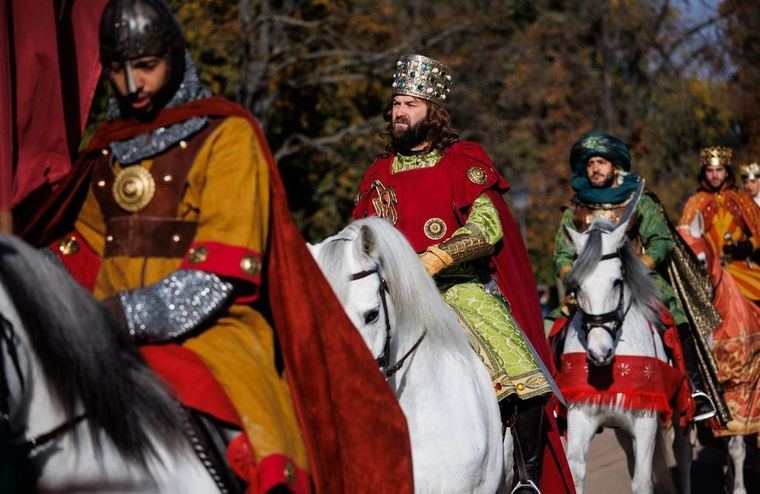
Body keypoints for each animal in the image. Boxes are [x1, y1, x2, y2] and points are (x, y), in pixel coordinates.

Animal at [560, 213, 692, 494]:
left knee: (683, 453)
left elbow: (642, 481)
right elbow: (575, 473)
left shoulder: (646, 419)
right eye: (577, 286)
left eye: (617, 281)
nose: (600, 352)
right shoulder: (581, 415)